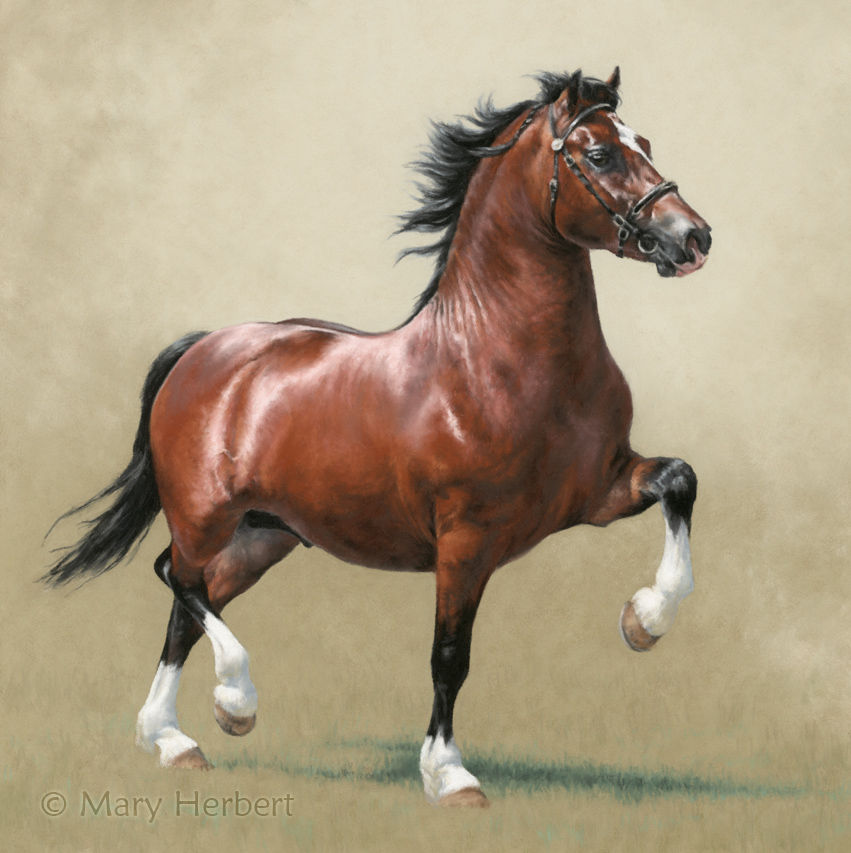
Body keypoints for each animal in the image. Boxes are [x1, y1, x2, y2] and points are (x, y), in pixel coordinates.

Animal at [45, 67, 711, 808]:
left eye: (644, 143)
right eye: (598, 154)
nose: (693, 238)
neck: (499, 360)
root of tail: (202, 349)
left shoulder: (598, 491)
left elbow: (680, 479)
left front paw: (643, 620)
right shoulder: (465, 539)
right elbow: (450, 655)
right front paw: (449, 775)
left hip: (265, 535)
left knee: (189, 605)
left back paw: (173, 739)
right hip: (204, 515)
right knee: (175, 576)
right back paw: (233, 703)